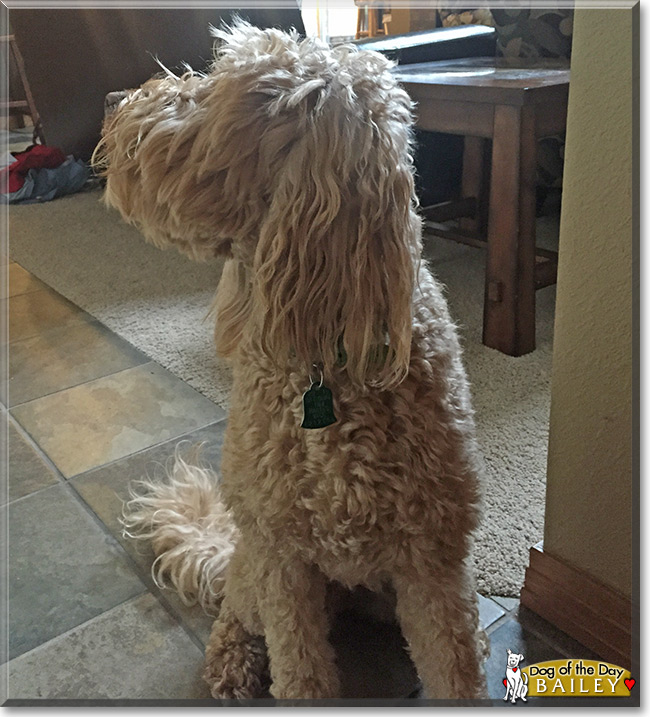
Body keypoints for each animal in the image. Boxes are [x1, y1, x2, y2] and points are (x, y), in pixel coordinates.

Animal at [95, 22, 486, 700]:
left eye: (215, 90)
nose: (114, 101)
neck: (327, 364)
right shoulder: (284, 564)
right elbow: (300, 673)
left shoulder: (431, 567)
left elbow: (455, 669)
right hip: (255, 566)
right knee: (234, 609)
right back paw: (230, 660)